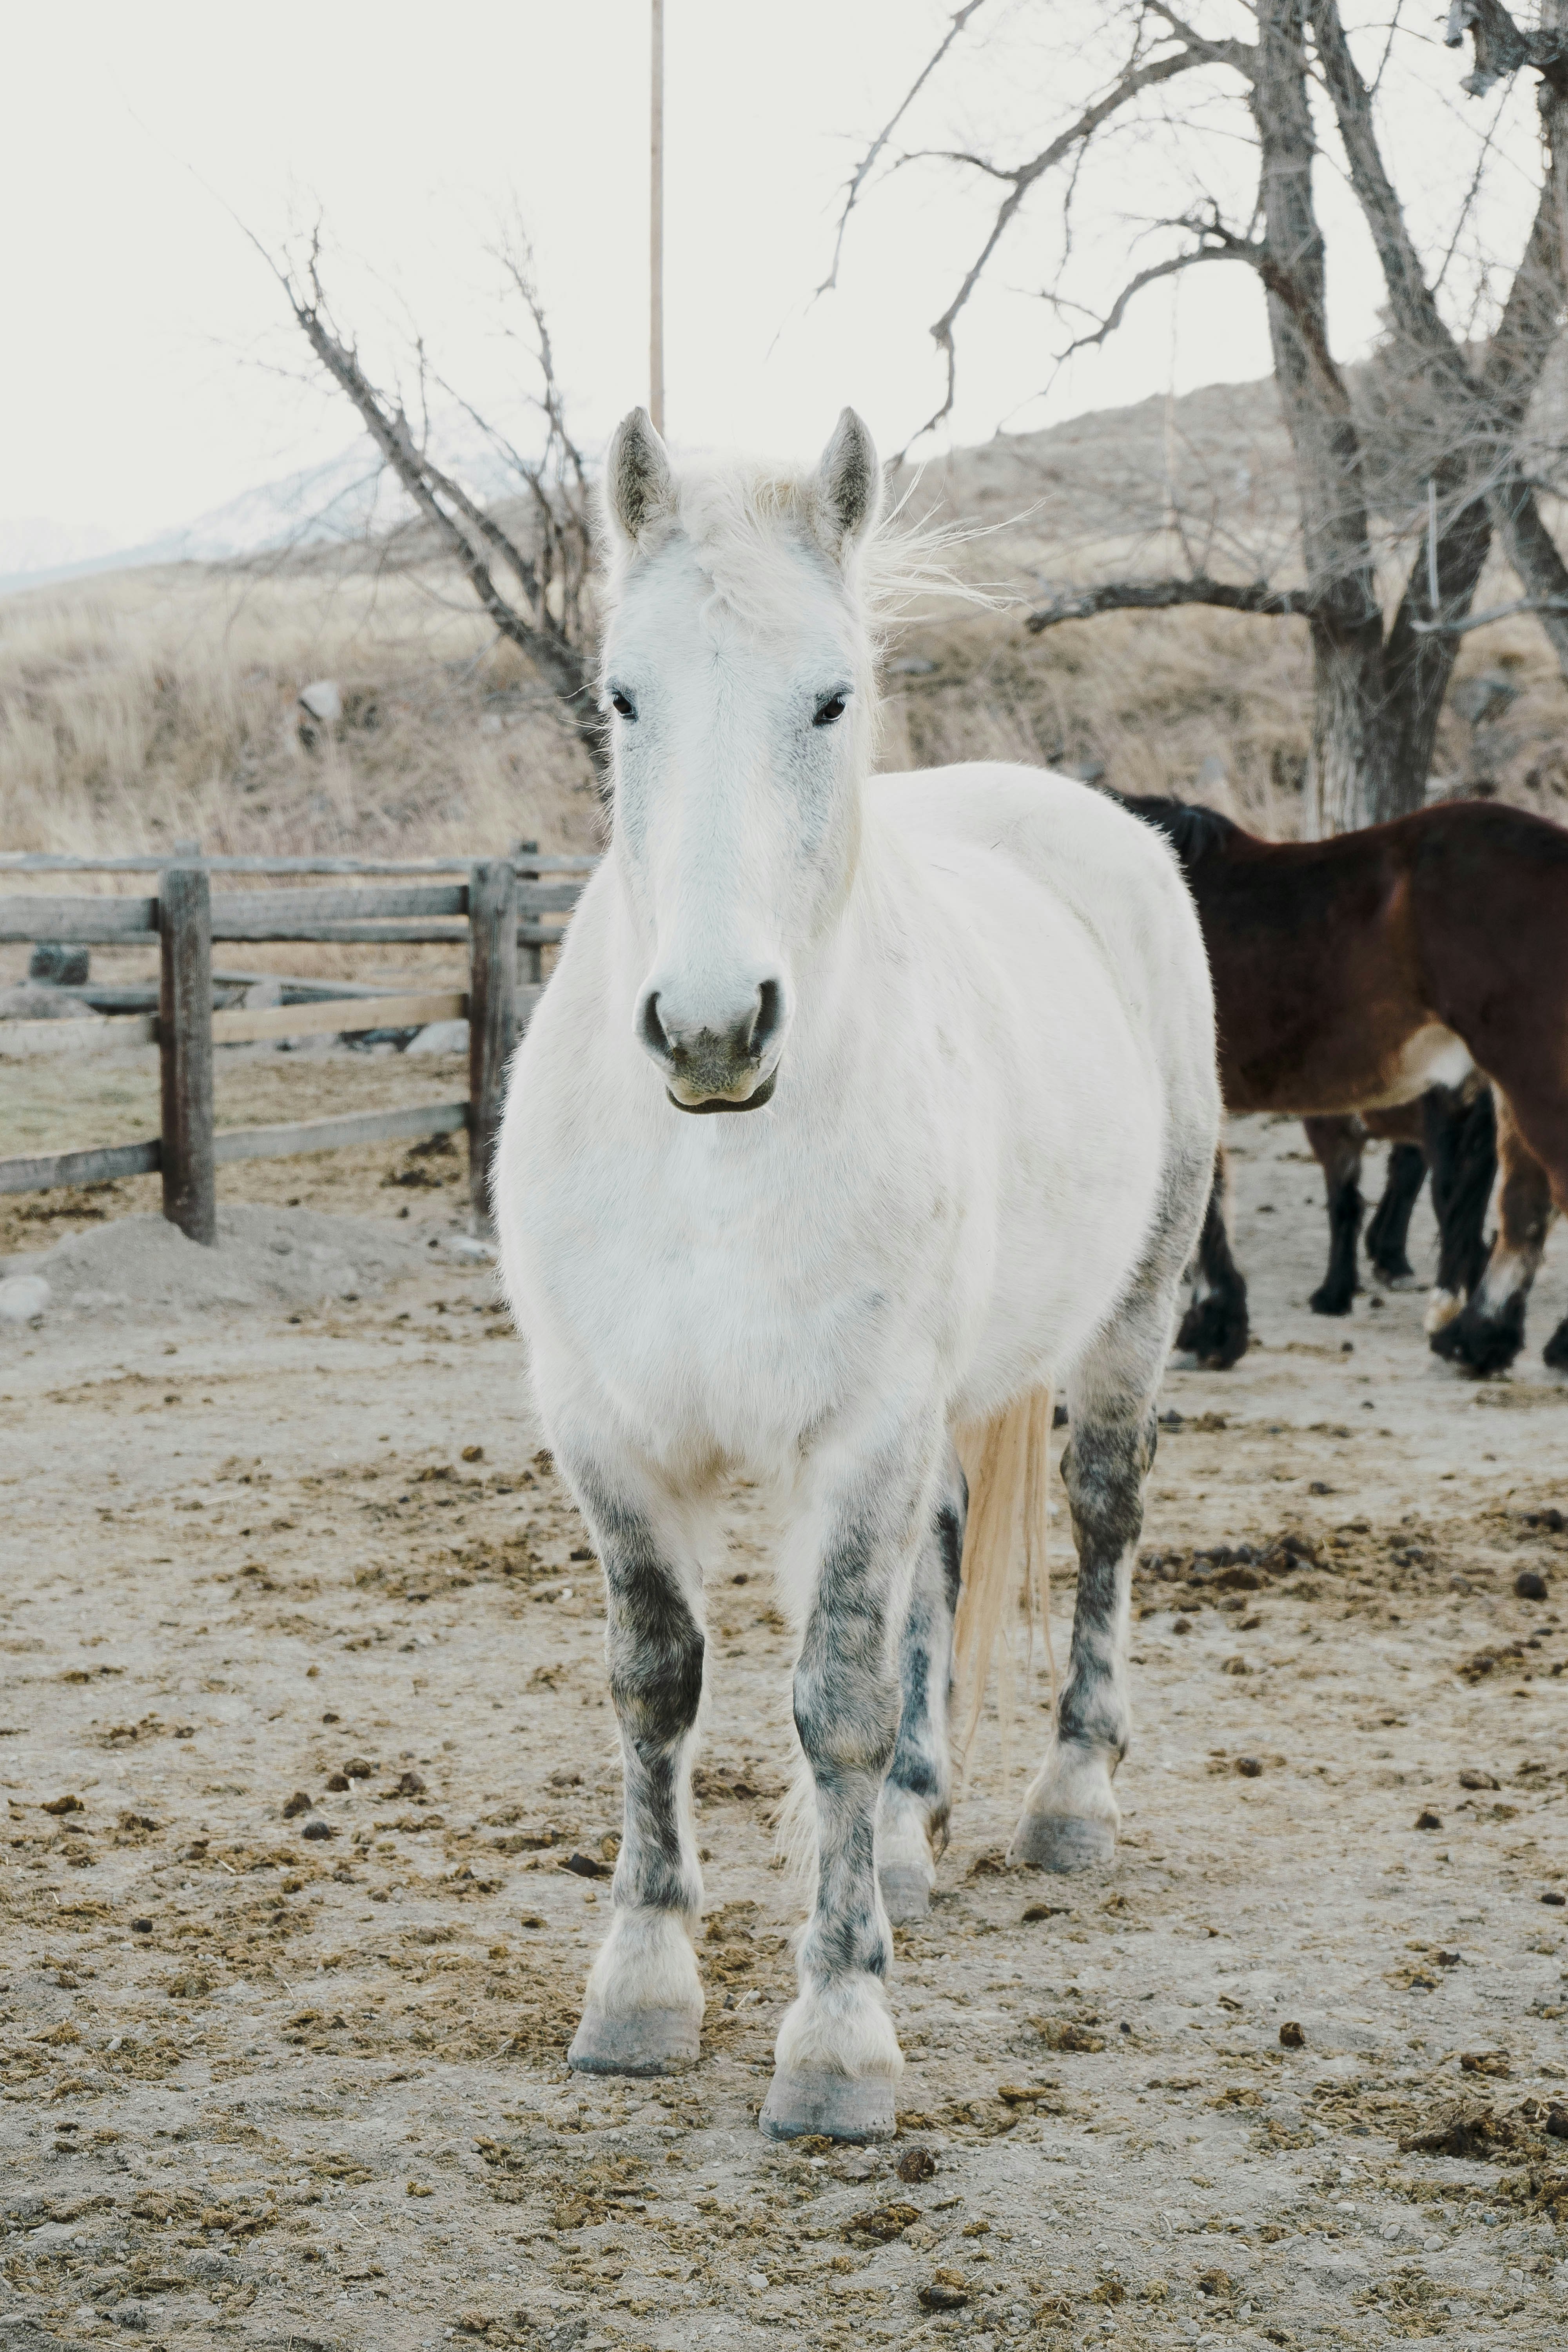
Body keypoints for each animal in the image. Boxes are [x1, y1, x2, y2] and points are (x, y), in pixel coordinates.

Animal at [496, 409, 1222, 2154]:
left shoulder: (860, 1428)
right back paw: (905, 1836)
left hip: (1128, 1321)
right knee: (938, 1570)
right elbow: (656, 1685)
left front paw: (835, 2035)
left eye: (831, 697)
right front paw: (641, 1985)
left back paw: (1068, 1802)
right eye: (625, 696)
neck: (709, 1162)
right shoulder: (608, 1432)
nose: (709, 1028)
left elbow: (833, 1699)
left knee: (1101, 1520)